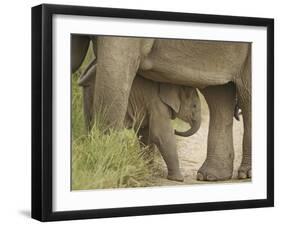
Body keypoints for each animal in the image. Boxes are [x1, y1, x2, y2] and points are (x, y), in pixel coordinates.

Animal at [71, 34, 250, 181]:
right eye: (193, 106)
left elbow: (154, 132)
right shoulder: (155, 104)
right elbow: (155, 133)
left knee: (245, 95)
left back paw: (241, 174)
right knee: (219, 94)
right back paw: (211, 176)